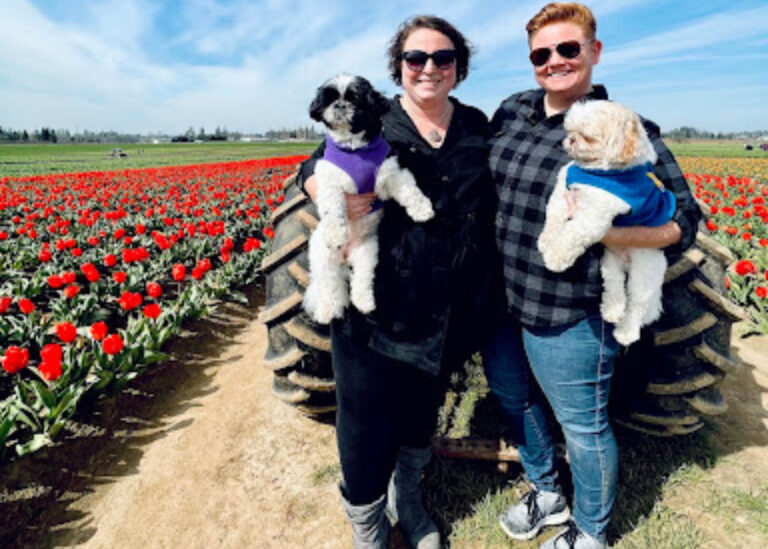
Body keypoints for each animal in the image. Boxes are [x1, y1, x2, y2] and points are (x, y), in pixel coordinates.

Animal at [300, 73, 432, 324]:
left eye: (355, 100)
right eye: (329, 99)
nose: (340, 105)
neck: (355, 149)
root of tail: (345, 256)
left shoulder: (391, 173)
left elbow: (410, 190)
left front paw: (423, 210)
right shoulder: (329, 180)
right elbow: (333, 210)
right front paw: (336, 234)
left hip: (367, 254)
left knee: (361, 280)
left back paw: (364, 303)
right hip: (322, 258)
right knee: (327, 286)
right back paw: (326, 311)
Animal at [536, 99, 676, 342]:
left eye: (587, 136)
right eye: (570, 131)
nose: (571, 140)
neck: (594, 171)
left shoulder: (595, 215)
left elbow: (571, 233)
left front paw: (554, 257)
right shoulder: (563, 191)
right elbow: (554, 216)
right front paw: (546, 241)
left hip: (644, 273)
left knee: (637, 305)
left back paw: (626, 332)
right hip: (610, 263)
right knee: (614, 287)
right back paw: (612, 311)